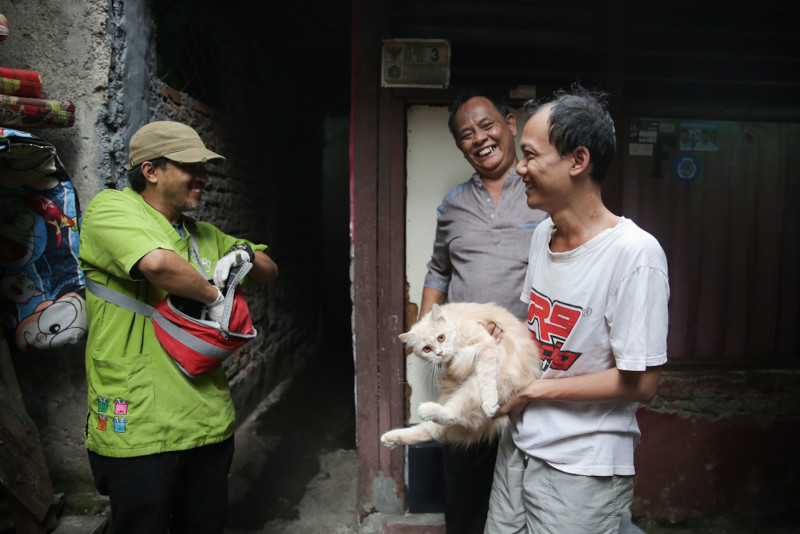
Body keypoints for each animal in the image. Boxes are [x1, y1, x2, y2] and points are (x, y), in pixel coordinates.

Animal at [380, 302, 542, 448]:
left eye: (441, 337)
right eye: (427, 349)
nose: (439, 353)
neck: (455, 322)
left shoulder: (485, 344)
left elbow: (487, 378)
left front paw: (489, 402)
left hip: (475, 388)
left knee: (452, 414)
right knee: (432, 429)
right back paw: (390, 438)